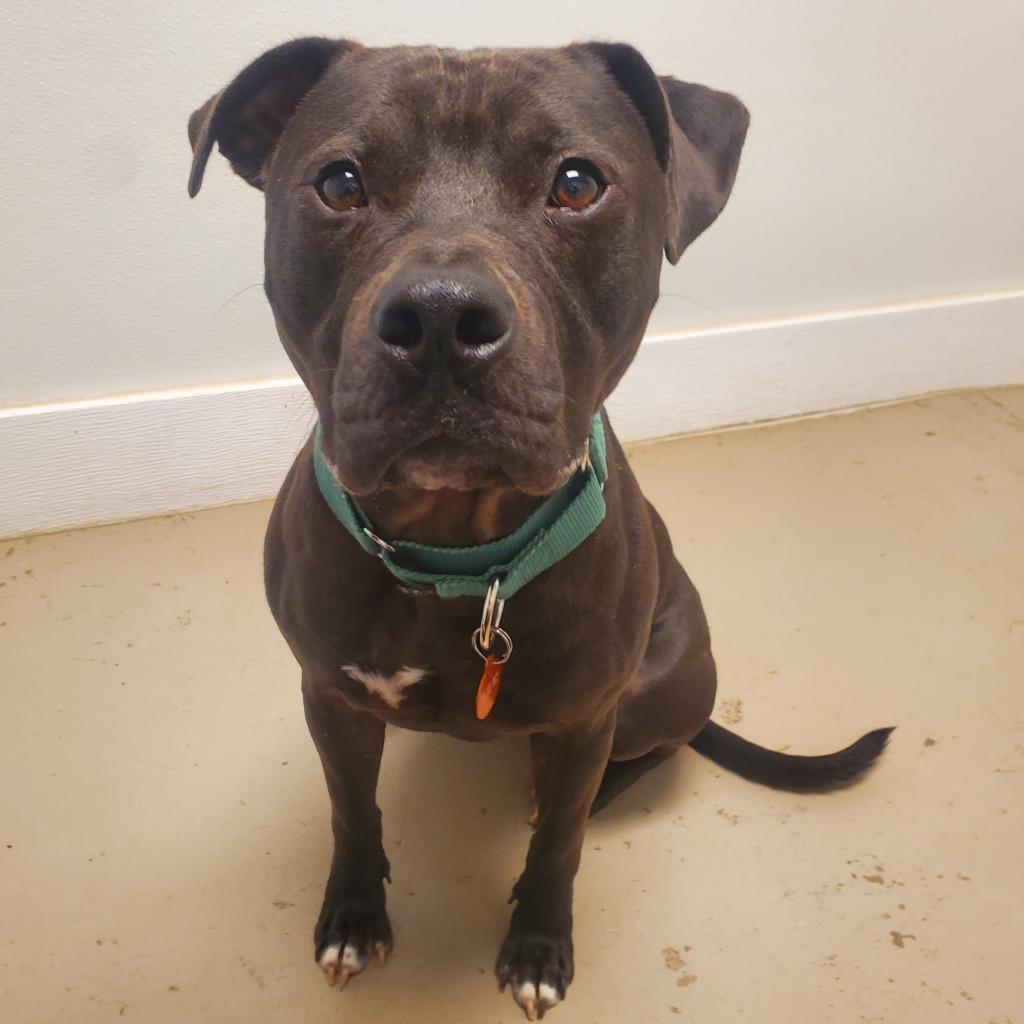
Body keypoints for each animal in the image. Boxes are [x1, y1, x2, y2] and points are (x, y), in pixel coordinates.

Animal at [188, 37, 891, 1019]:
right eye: (339, 182)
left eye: (575, 181)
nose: (441, 314)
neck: (457, 558)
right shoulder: (330, 696)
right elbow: (350, 810)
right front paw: (354, 916)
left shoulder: (583, 720)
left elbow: (558, 843)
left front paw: (536, 945)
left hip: (654, 688)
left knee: (638, 759)